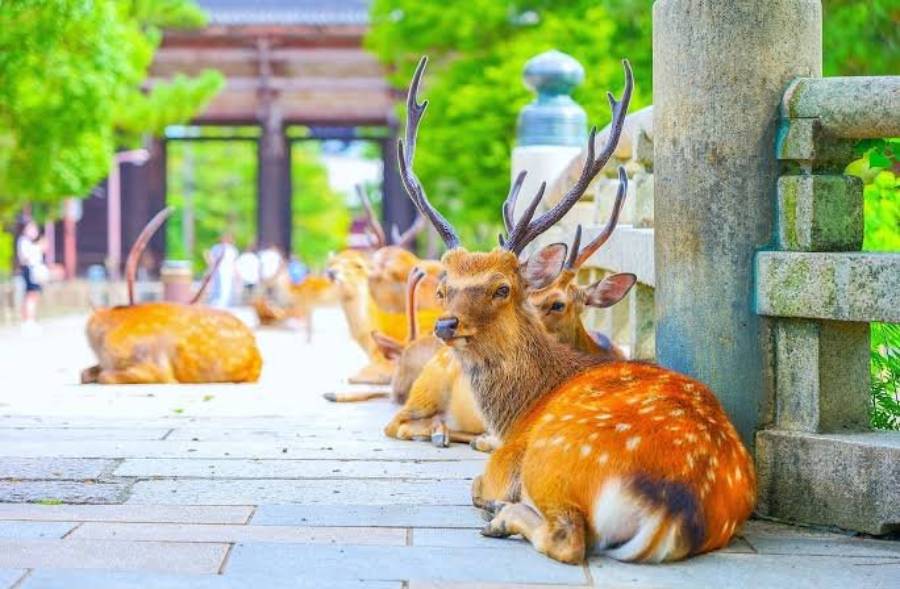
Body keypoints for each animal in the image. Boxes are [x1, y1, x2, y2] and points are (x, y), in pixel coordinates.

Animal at [396, 56, 756, 564]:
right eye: (444, 287)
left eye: (502, 287)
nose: (446, 324)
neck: (518, 410)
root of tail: (674, 507)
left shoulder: (504, 459)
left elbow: (475, 486)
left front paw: (494, 506)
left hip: (551, 459)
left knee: (567, 539)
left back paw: (503, 518)